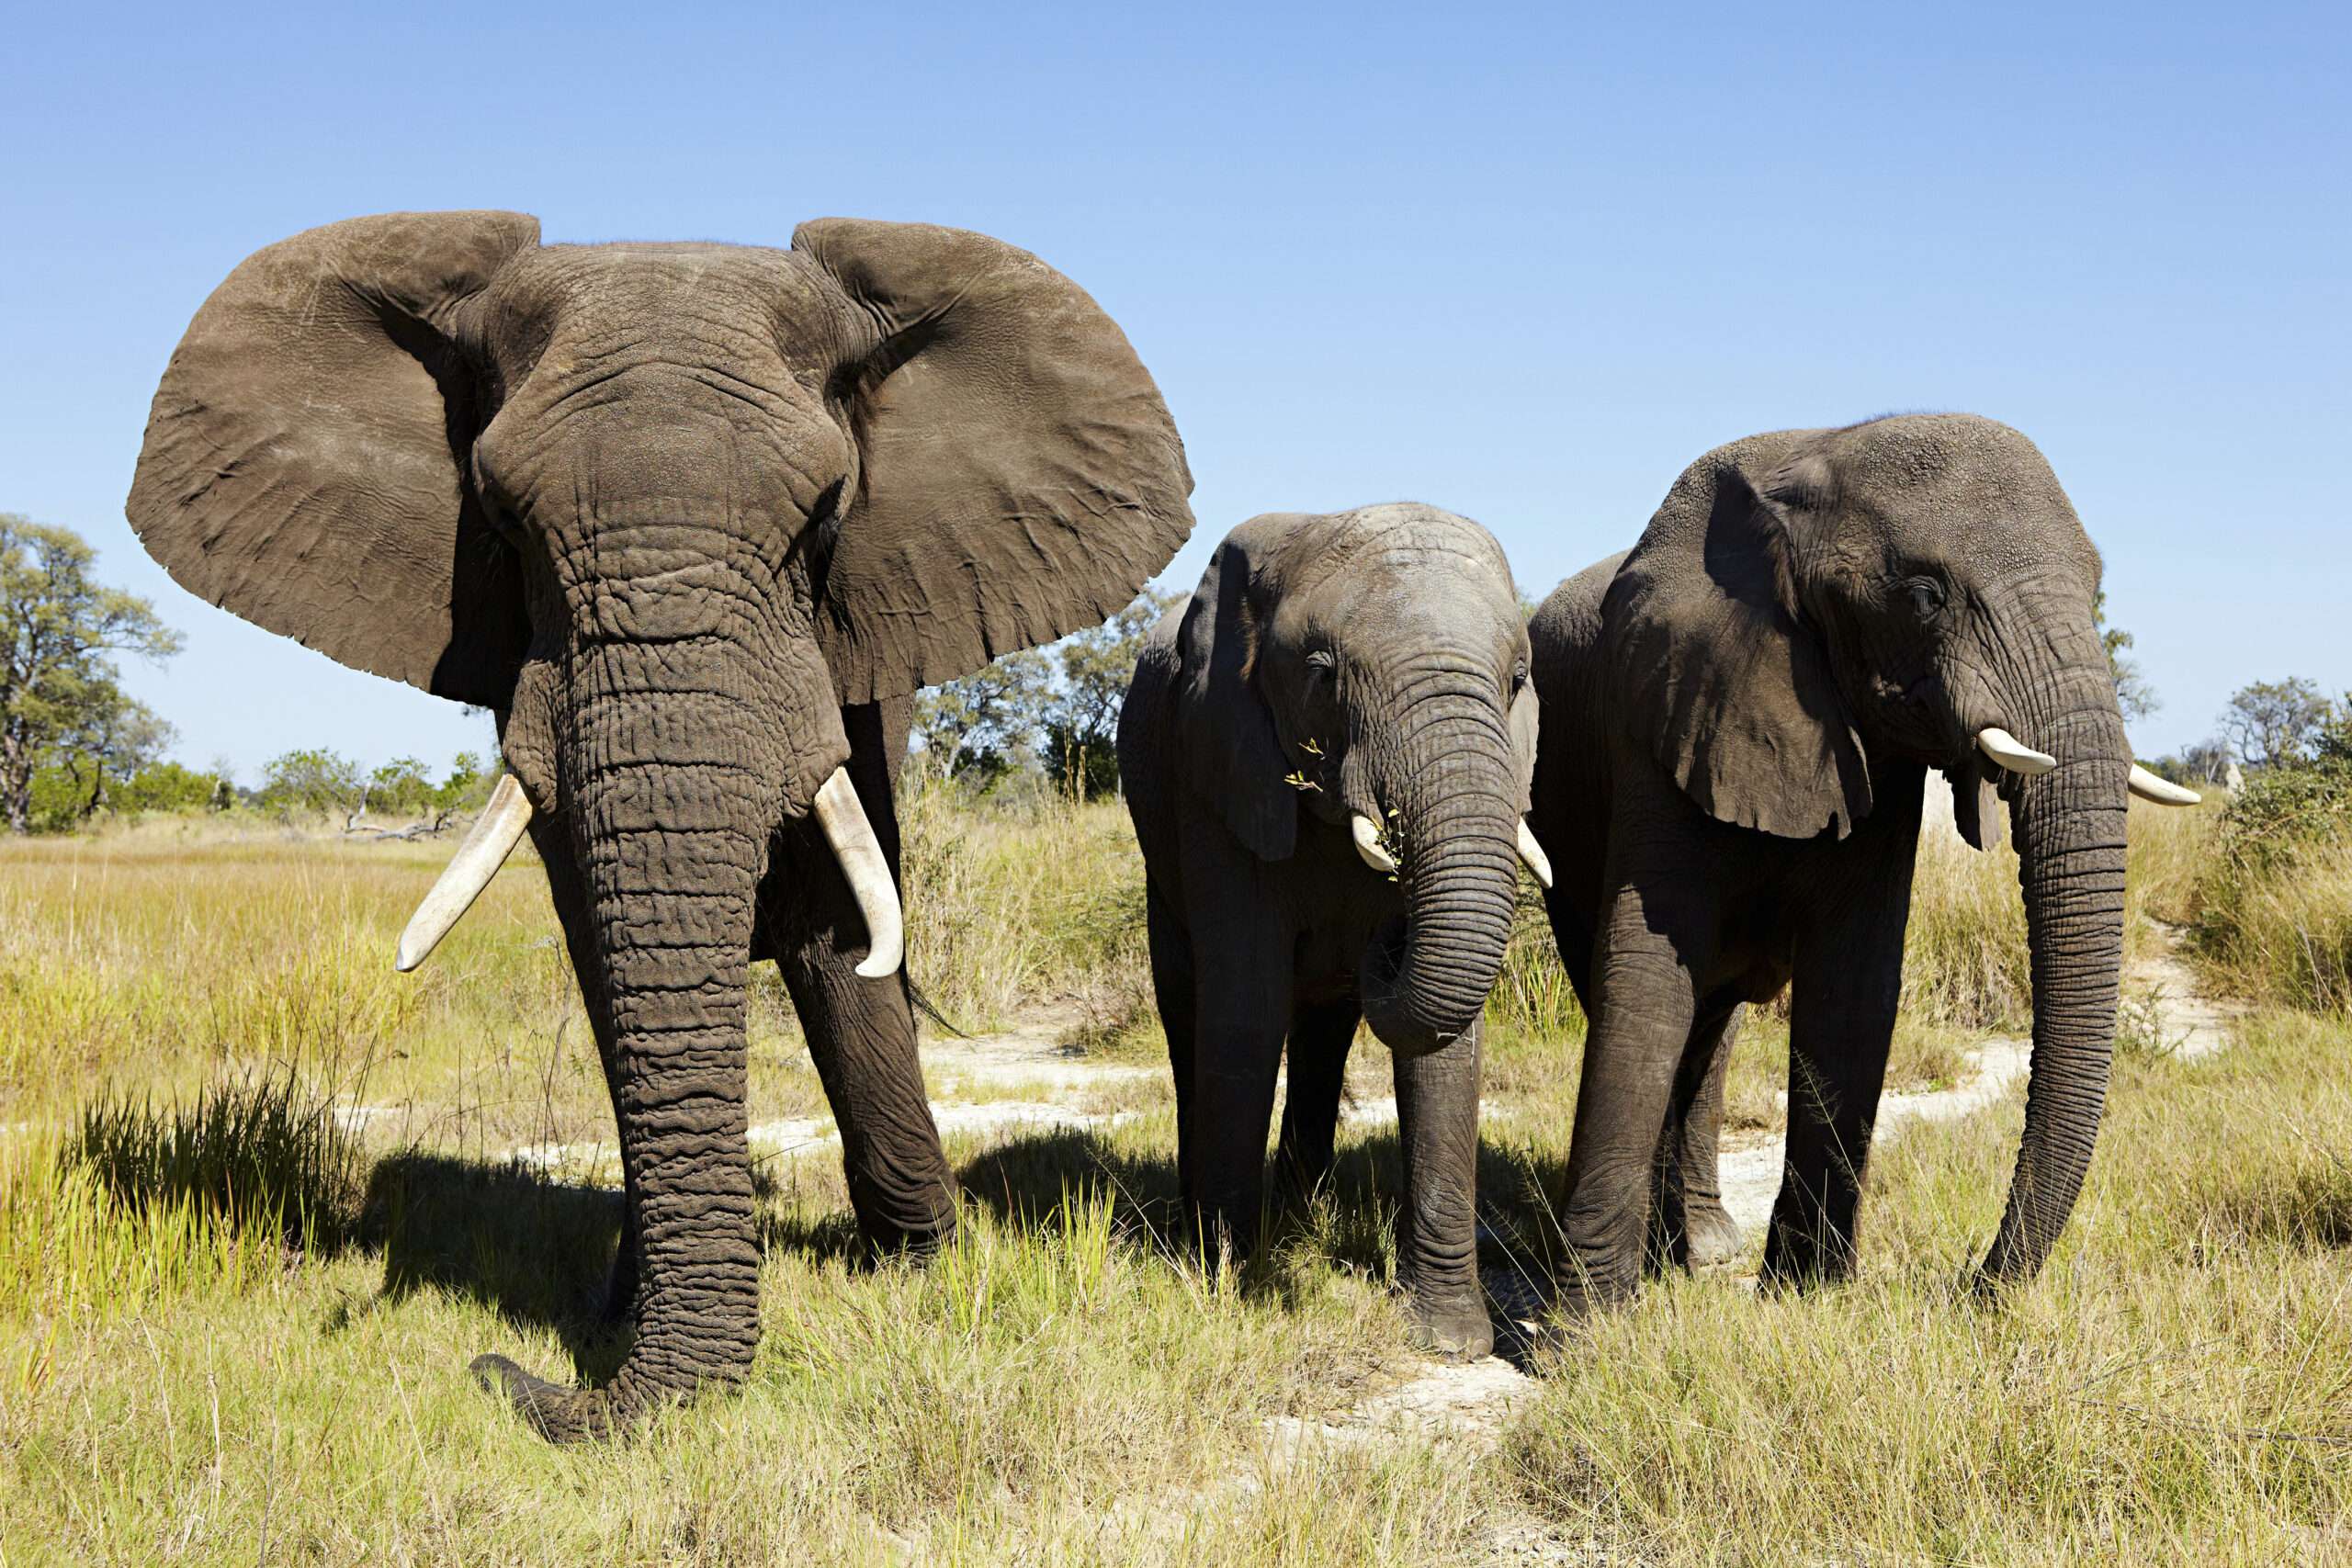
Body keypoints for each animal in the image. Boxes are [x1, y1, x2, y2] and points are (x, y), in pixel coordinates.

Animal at [125, 211, 1194, 1440]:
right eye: (500, 521)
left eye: (825, 516)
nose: (502, 1370)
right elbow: (603, 939)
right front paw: (613, 1310)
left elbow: (840, 927)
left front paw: (921, 1272)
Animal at [1117, 503, 1551, 1359]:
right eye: (1323, 675)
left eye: (1517, 680)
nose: (1390, 938)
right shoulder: (1218, 765)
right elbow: (1246, 1004)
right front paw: (1226, 1285)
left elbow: (1444, 1048)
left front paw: (1448, 1338)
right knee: (1189, 1006)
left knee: (1323, 1032)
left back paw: (1299, 1218)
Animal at [1524, 414, 2201, 1316]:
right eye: (1924, 595)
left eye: (2097, 583)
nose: (1975, 1287)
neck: (1815, 453)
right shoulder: (1662, 704)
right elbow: (1646, 972)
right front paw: (1581, 1326)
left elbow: (1854, 983)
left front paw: (1803, 1296)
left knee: (1716, 1025)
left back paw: (1700, 1250)